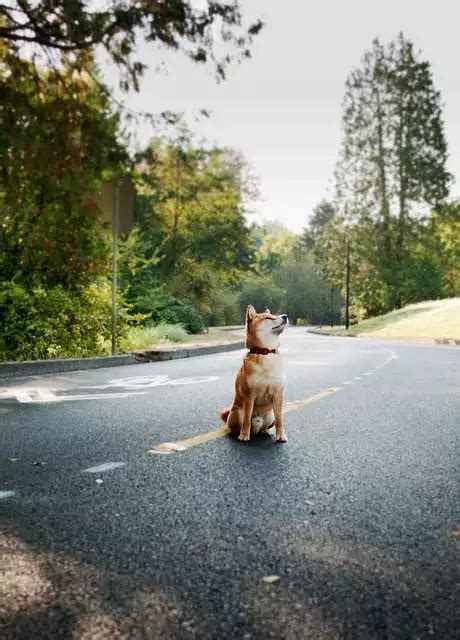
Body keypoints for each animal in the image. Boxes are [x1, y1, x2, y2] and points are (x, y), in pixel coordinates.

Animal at [219, 304, 288, 440]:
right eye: (268, 317)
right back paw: (240, 433)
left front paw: (281, 435)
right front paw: (244, 436)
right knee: (236, 425)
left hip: (270, 415)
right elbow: (246, 419)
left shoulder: (278, 394)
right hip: (236, 412)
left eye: (273, 315)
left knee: (266, 426)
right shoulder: (249, 395)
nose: (285, 316)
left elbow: (280, 420)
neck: (265, 352)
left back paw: (266, 431)